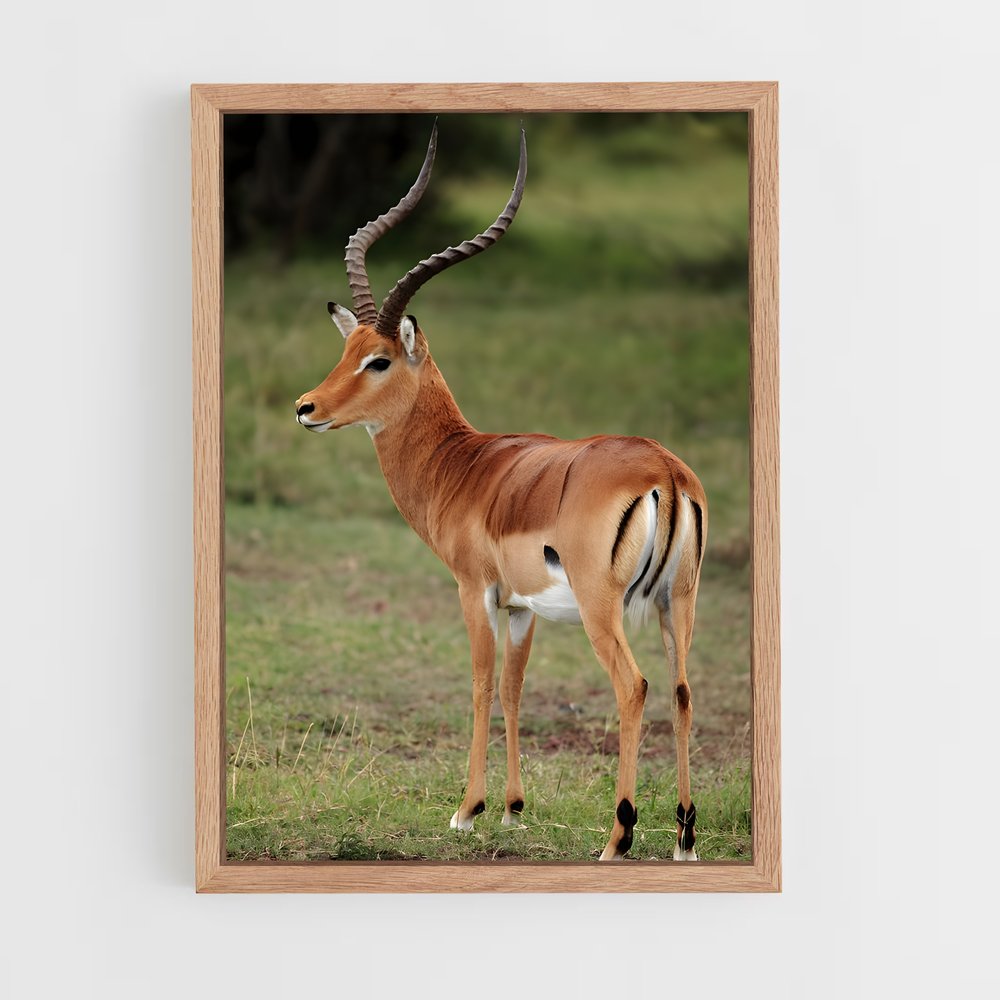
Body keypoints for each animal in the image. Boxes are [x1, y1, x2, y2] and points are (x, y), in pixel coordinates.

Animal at [294, 125, 706, 861]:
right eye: (347, 352)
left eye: (379, 360)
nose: (305, 408)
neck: (464, 466)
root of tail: (665, 472)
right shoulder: (521, 608)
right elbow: (515, 690)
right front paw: (513, 809)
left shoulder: (474, 590)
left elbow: (482, 685)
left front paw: (467, 809)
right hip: (675, 602)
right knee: (683, 690)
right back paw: (684, 838)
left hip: (605, 609)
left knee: (634, 688)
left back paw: (617, 838)